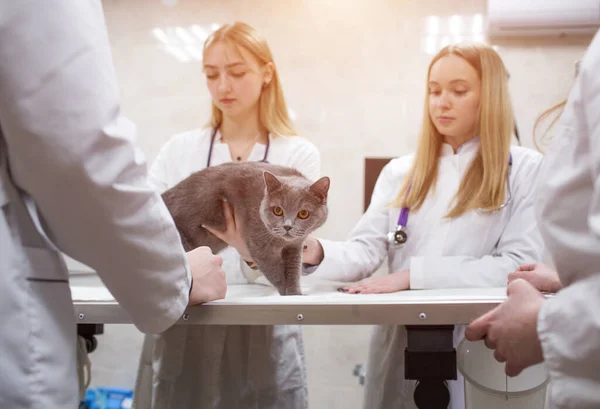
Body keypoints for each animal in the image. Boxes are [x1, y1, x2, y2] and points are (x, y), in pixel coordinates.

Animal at [162, 161, 330, 294]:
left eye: (303, 213)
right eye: (278, 210)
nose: (287, 226)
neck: (281, 241)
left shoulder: (295, 247)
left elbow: (293, 271)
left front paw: (295, 293)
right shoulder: (261, 247)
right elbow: (275, 273)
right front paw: (286, 293)